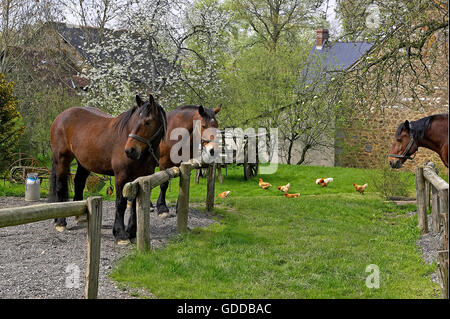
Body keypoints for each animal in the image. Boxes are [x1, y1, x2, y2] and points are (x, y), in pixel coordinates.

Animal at [48, 95, 167, 245]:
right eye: (134, 120)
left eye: (148, 122)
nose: (130, 150)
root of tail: (60, 117)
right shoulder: (121, 176)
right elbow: (121, 203)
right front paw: (120, 234)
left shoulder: (140, 177)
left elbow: (134, 203)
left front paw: (131, 232)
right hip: (61, 160)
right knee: (60, 187)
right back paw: (60, 222)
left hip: (83, 163)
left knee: (79, 183)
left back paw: (81, 217)